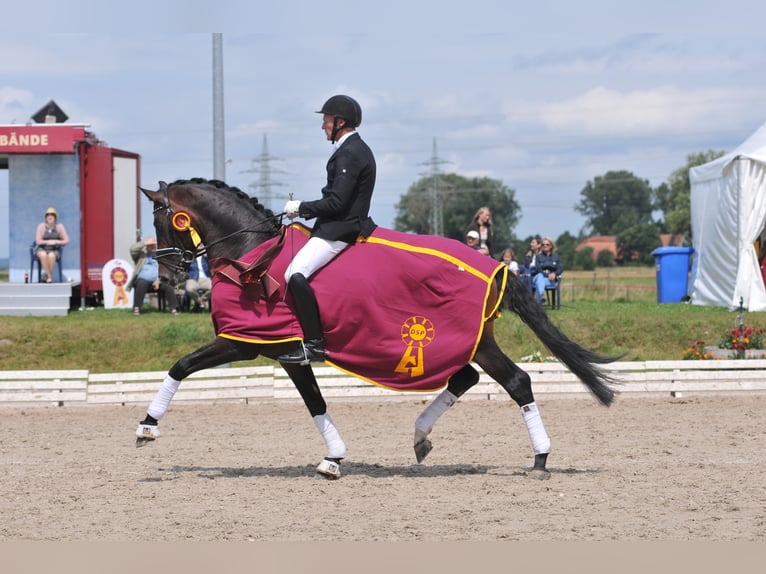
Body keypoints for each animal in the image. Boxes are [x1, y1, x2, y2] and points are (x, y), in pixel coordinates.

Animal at [135, 179, 620, 482]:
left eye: (162, 220)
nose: (170, 277)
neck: (251, 253)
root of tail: (495, 267)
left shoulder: (243, 343)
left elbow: (180, 366)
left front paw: (146, 428)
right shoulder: (285, 353)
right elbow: (315, 403)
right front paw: (333, 459)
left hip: (466, 339)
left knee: (514, 381)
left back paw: (539, 460)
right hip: (473, 343)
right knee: (473, 376)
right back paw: (422, 437)